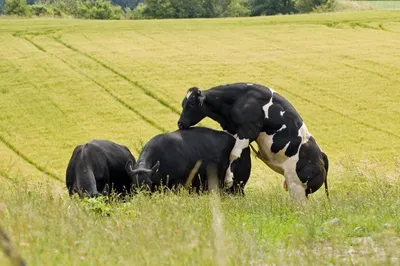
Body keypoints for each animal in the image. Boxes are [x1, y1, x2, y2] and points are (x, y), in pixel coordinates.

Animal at [178, 82, 328, 201]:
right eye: (183, 104)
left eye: (191, 104)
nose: (179, 123)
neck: (241, 98)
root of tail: (321, 156)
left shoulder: (249, 130)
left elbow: (234, 153)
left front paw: (228, 179)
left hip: (298, 187)